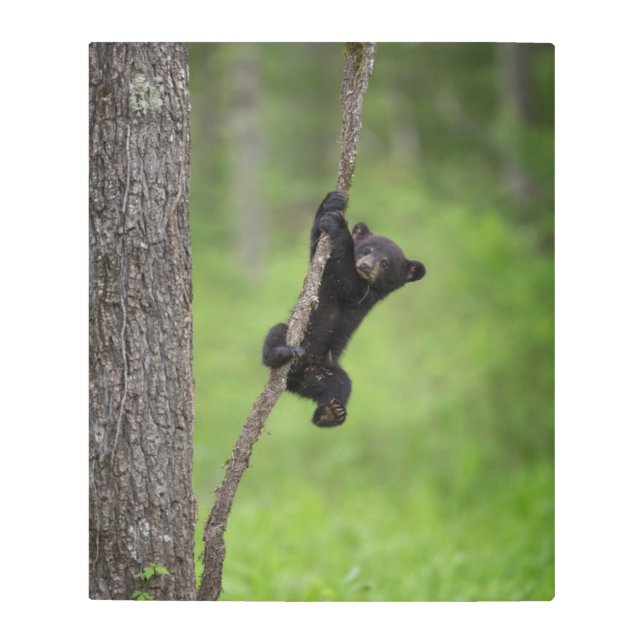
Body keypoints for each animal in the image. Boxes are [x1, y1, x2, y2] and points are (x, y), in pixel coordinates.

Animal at [262, 190, 426, 427]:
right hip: (294, 337)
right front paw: (331, 202)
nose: (366, 265)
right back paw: (281, 352)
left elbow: (348, 282)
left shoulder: (365, 295)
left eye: (386, 263)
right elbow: (316, 247)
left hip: (327, 369)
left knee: (341, 384)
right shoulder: (322, 272)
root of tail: (295, 381)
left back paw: (330, 413)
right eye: (367, 249)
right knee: (276, 333)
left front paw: (339, 224)